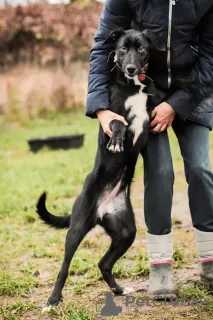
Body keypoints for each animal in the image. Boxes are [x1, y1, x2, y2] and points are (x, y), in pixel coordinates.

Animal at [36, 28, 166, 308]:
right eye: (122, 48)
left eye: (141, 48)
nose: (130, 68)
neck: (134, 85)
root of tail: (101, 210)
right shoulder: (110, 115)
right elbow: (118, 123)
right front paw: (117, 140)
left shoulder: (153, 105)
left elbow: (160, 103)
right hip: (76, 229)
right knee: (64, 267)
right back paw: (53, 299)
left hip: (126, 231)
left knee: (103, 263)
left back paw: (118, 290)